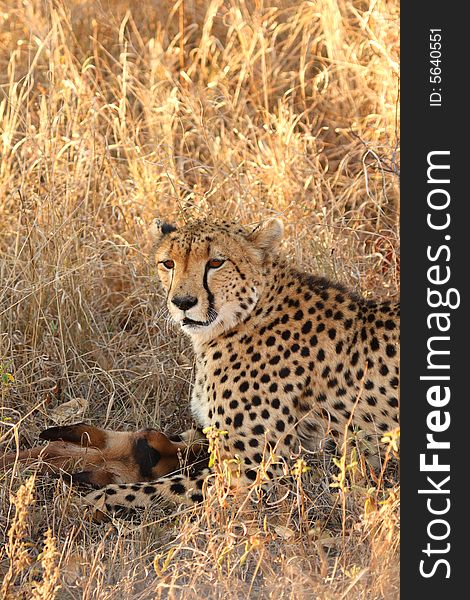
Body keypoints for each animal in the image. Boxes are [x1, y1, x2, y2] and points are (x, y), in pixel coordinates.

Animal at [85, 218, 400, 512]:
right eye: (168, 263)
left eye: (216, 262)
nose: (183, 302)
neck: (247, 316)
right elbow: (174, 438)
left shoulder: (253, 473)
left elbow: (151, 489)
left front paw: (92, 500)